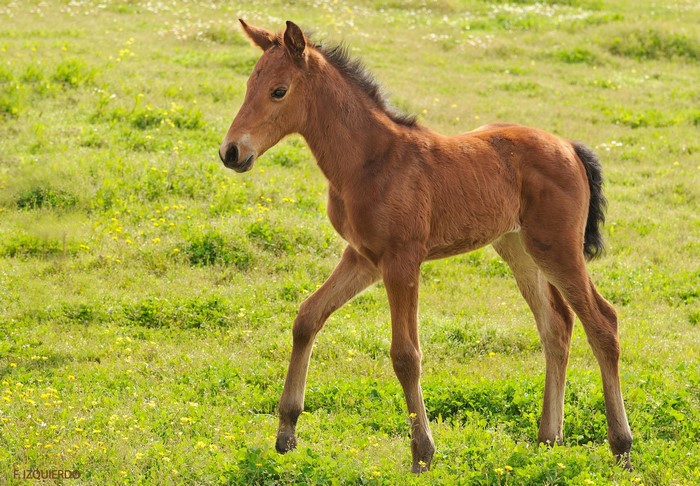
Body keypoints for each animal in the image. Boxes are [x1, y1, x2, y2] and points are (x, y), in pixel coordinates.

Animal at [219, 19, 633, 473]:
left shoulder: (402, 260)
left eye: (279, 91)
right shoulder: (363, 257)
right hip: (518, 247)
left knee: (603, 322)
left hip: (558, 248)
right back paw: (547, 439)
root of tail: (571, 148)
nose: (231, 151)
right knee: (556, 326)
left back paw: (621, 446)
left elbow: (405, 354)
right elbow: (307, 316)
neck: (369, 161)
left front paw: (423, 452)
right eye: (249, 84)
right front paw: (286, 431)